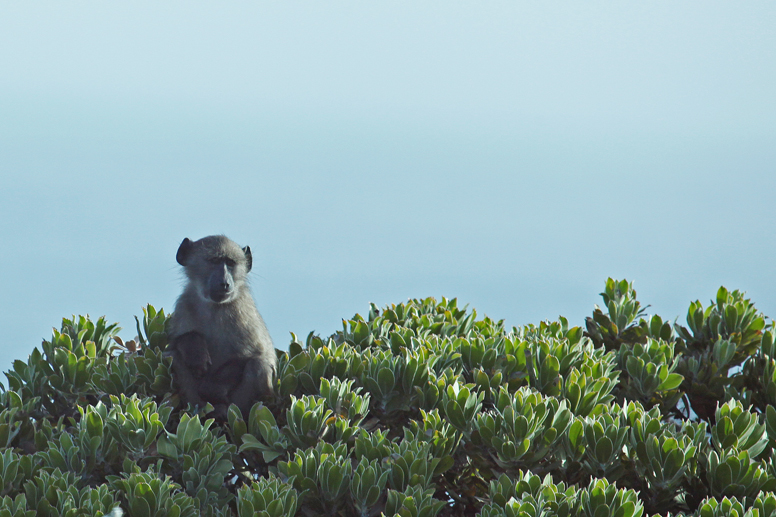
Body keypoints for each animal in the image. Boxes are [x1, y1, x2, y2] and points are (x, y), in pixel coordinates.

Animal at [167, 235, 277, 418]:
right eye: (214, 261)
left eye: (230, 263)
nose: (225, 283)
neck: (213, 307)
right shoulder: (184, 304)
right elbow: (174, 345)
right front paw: (195, 348)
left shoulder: (242, 312)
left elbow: (258, 354)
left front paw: (212, 389)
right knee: (173, 356)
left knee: (257, 365)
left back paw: (223, 412)